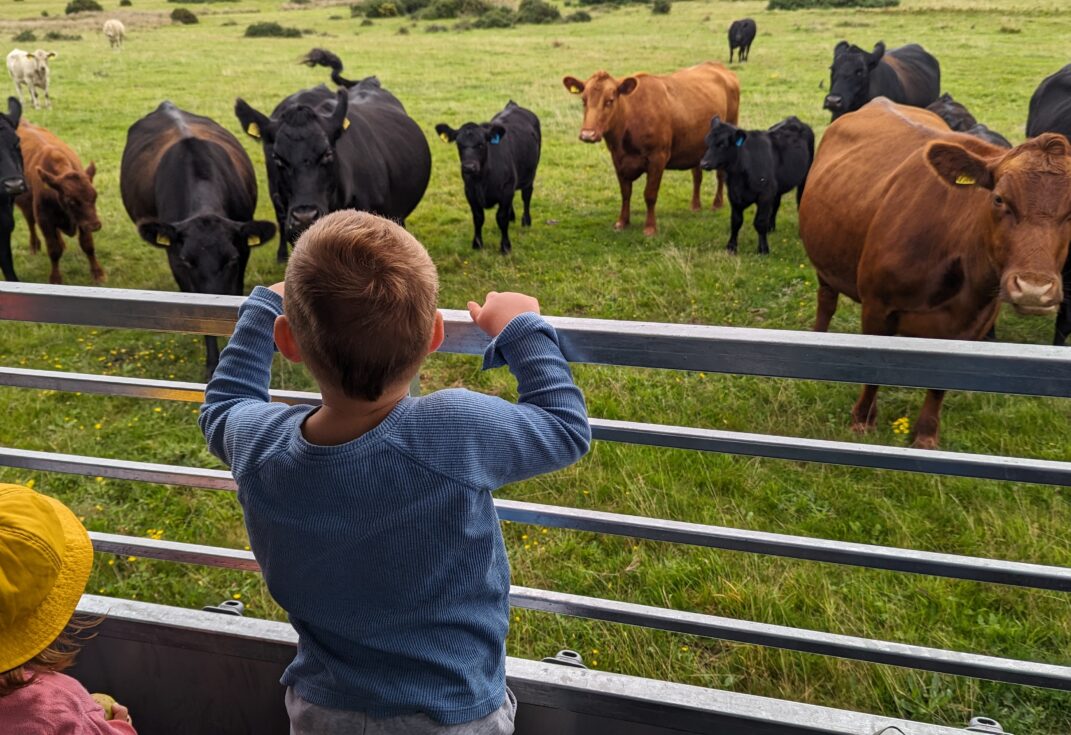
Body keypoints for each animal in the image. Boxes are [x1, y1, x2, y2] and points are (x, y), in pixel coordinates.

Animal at [15, 120, 103, 285]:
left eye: (94, 196)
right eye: (71, 201)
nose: (95, 225)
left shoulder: (83, 221)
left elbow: (87, 245)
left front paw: (98, 273)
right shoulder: (45, 220)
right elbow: (54, 250)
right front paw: (55, 278)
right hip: (24, 203)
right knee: (30, 222)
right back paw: (34, 246)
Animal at [435, 101, 541, 255]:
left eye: (481, 144)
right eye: (459, 144)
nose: (469, 167)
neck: (482, 180)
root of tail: (513, 105)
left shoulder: (506, 189)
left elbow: (501, 217)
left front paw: (505, 246)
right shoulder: (469, 191)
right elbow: (478, 217)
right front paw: (477, 244)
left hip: (531, 173)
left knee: (526, 196)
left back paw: (526, 221)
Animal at [562, 62, 740, 236]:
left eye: (610, 101)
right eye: (583, 100)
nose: (587, 135)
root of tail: (717, 66)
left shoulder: (657, 158)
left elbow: (650, 194)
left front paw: (650, 227)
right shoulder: (618, 159)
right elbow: (625, 193)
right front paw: (622, 222)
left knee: (720, 174)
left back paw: (717, 203)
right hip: (695, 145)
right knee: (697, 175)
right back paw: (695, 205)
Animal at [700, 115, 813, 255]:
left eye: (722, 144)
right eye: (707, 142)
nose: (704, 163)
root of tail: (794, 119)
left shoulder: (765, 194)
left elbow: (760, 222)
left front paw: (763, 249)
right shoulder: (733, 194)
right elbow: (736, 221)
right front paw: (731, 247)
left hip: (805, 176)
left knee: (799, 200)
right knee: (776, 204)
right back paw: (771, 227)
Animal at [799, 98, 1071, 449]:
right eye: (999, 198)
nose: (1034, 289)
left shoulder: (974, 324)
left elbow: (939, 383)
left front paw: (926, 434)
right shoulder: (876, 306)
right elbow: (873, 368)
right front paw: (862, 420)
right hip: (825, 264)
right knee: (826, 301)